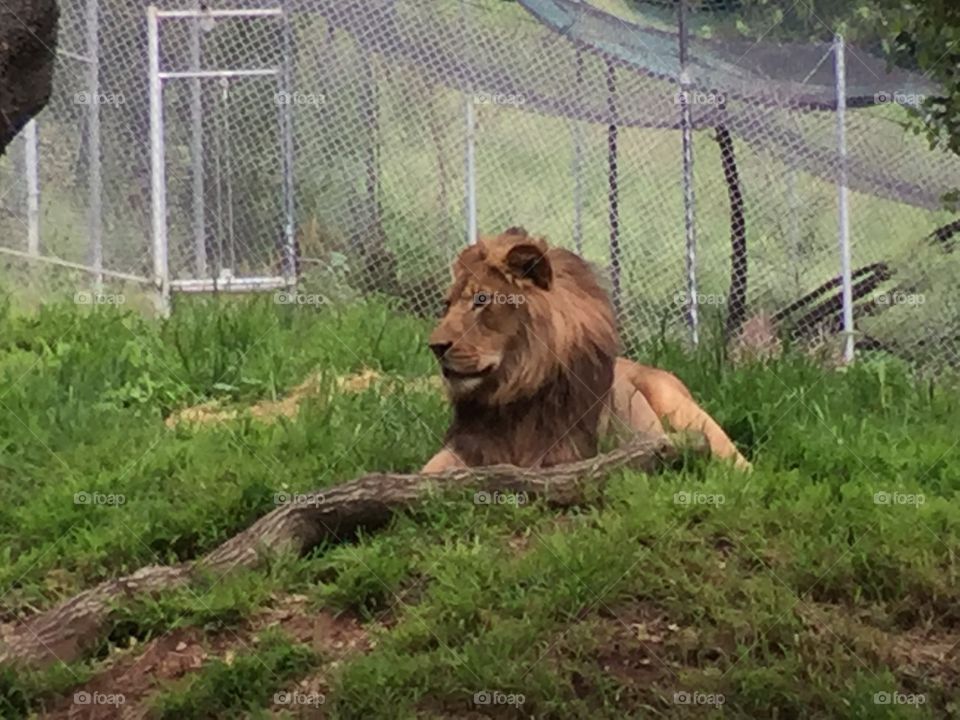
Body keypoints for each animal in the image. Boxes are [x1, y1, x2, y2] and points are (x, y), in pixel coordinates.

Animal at [422, 229, 752, 472]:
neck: (514, 392)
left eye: (481, 300)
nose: (436, 347)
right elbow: (429, 473)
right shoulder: (468, 447)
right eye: (447, 304)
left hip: (683, 410)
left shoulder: (564, 456)